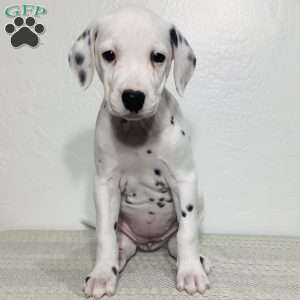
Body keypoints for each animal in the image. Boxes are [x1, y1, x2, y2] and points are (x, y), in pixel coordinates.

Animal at [69, 5, 211, 298]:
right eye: (109, 55)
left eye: (158, 57)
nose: (133, 97)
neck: (137, 132)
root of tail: (150, 243)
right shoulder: (106, 185)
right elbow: (104, 236)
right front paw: (102, 273)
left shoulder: (183, 179)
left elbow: (188, 233)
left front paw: (191, 272)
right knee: (122, 243)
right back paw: (118, 258)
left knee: (177, 241)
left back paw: (194, 260)